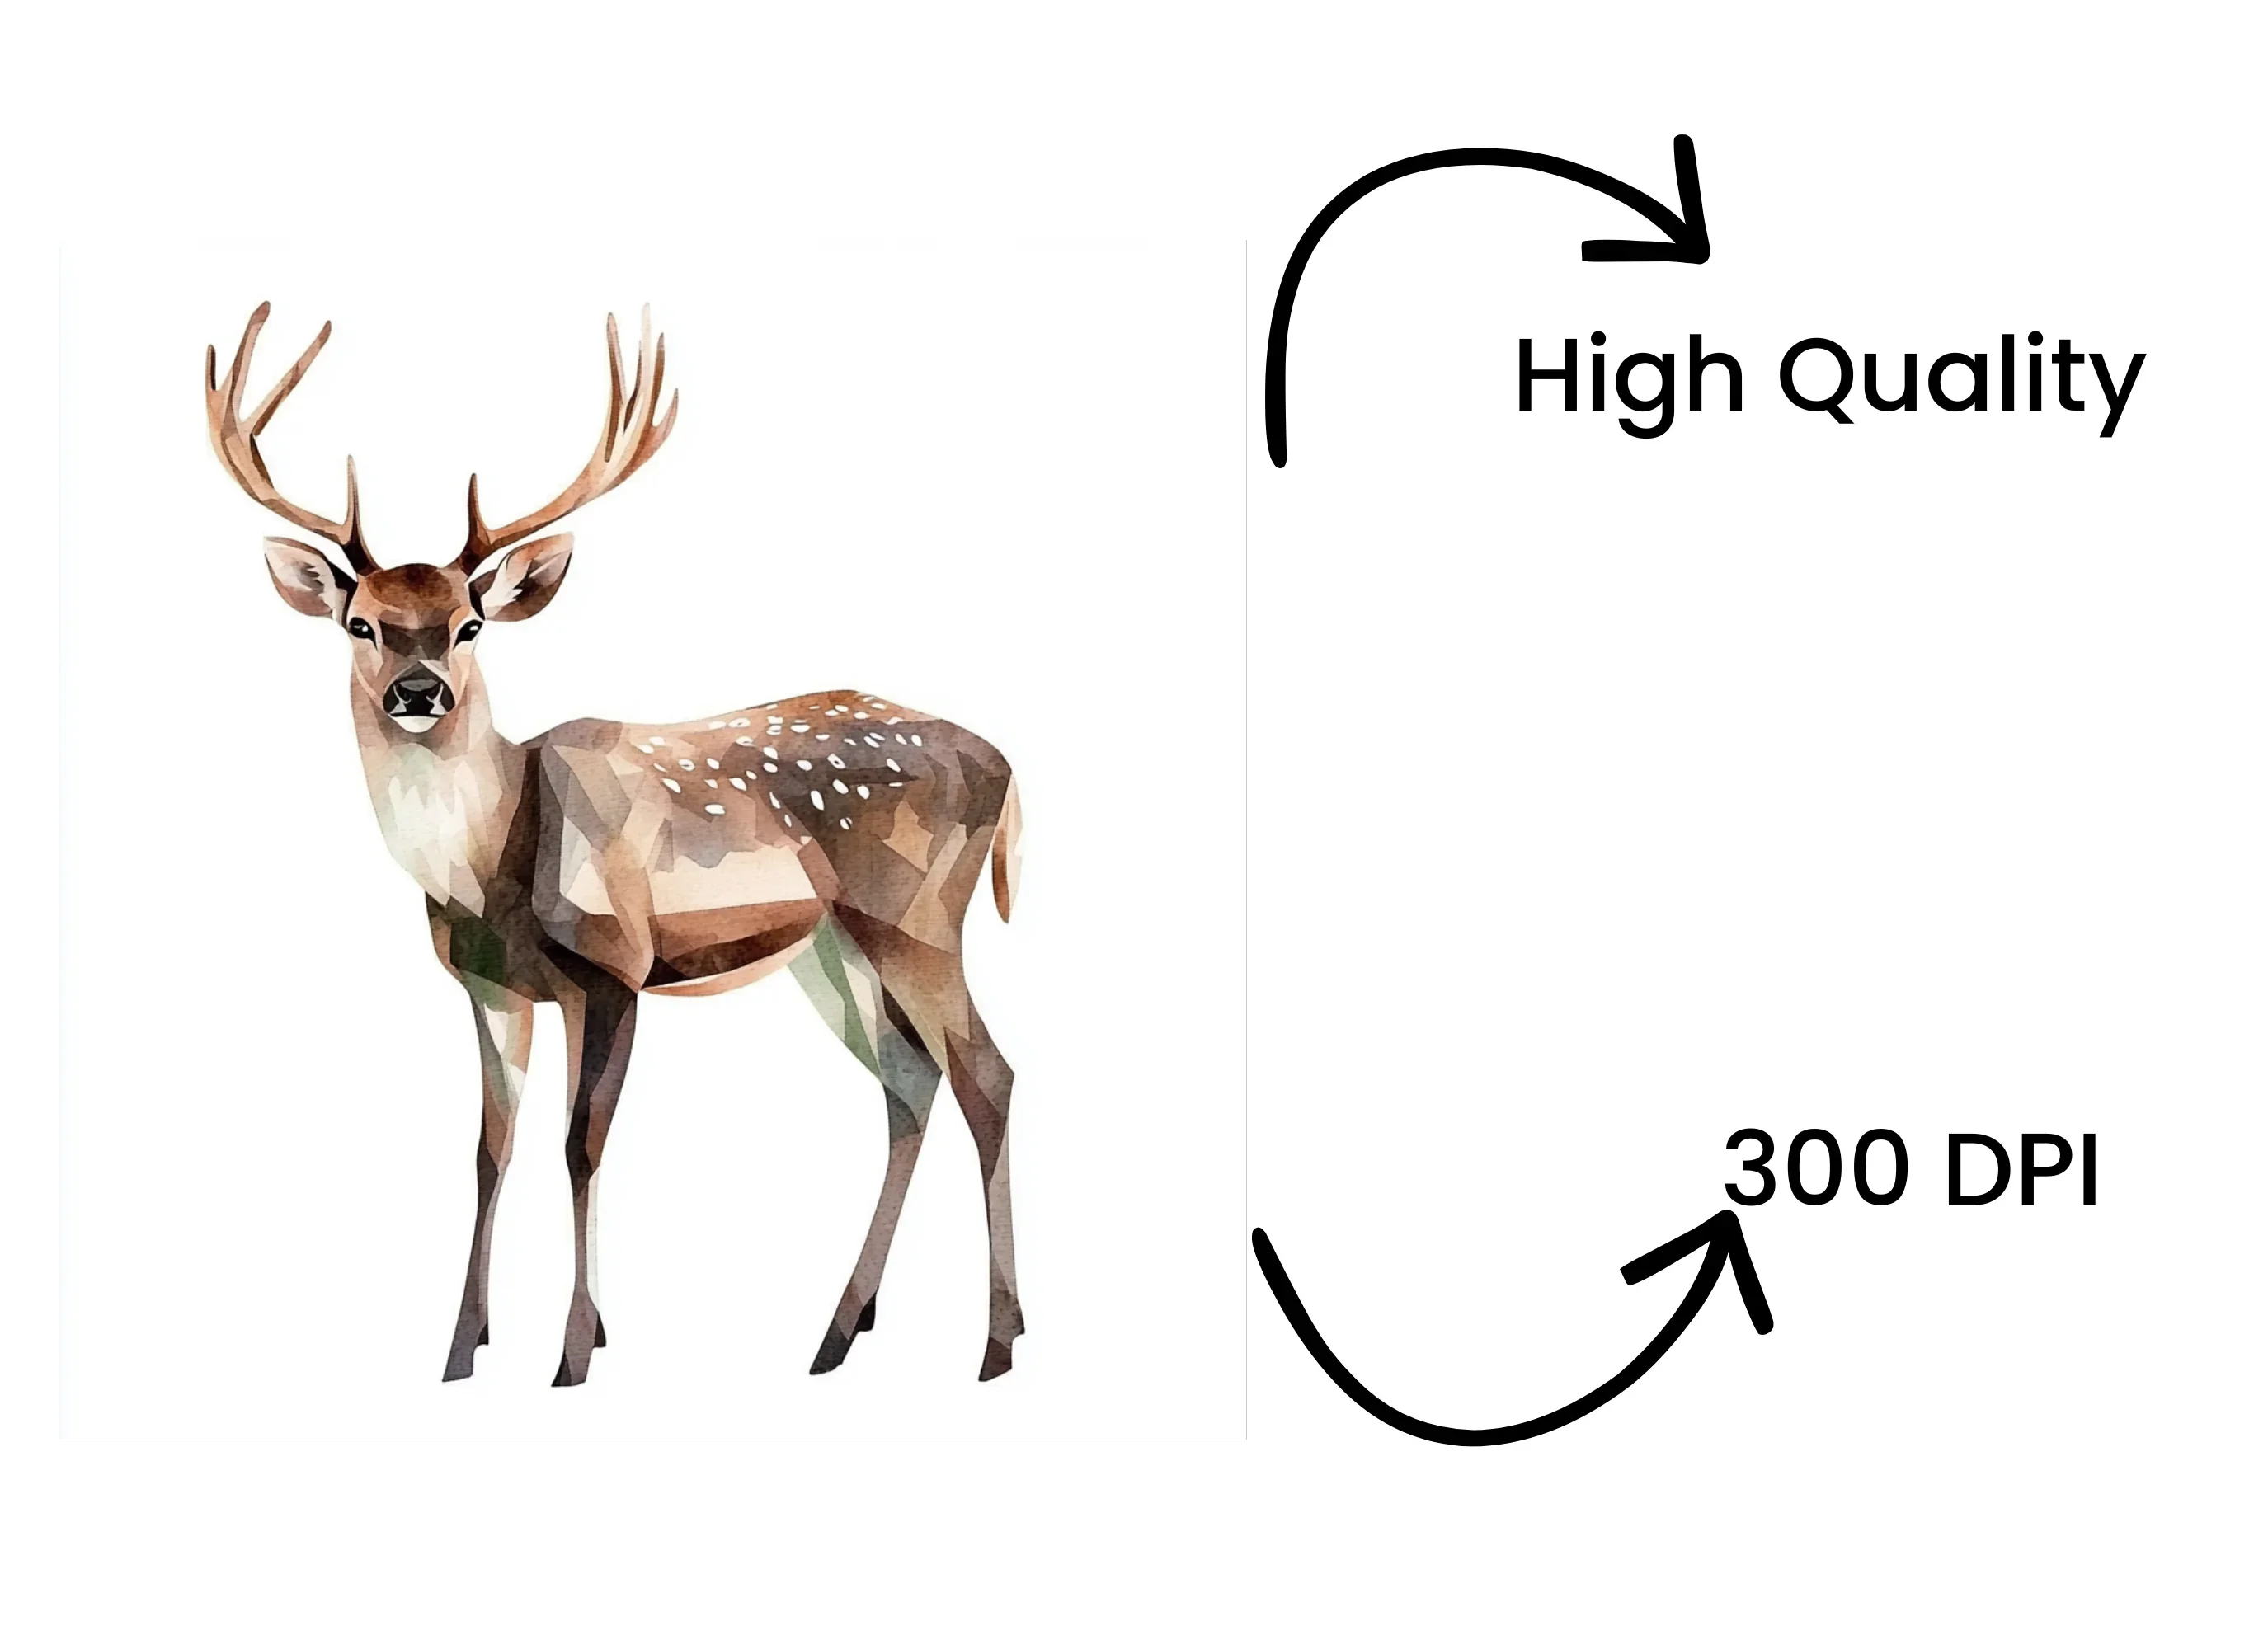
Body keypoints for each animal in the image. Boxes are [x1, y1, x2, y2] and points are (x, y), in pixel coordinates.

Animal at [206, 303, 1025, 1387]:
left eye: (469, 624)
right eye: (362, 623)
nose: (419, 692)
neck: (492, 870)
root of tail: (1009, 765)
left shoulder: (614, 968)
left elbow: (580, 1146)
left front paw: (574, 1352)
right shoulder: (493, 987)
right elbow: (490, 1149)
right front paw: (463, 1350)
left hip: (919, 916)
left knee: (986, 1075)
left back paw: (995, 1342)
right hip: (830, 951)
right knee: (907, 1082)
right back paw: (838, 1332)